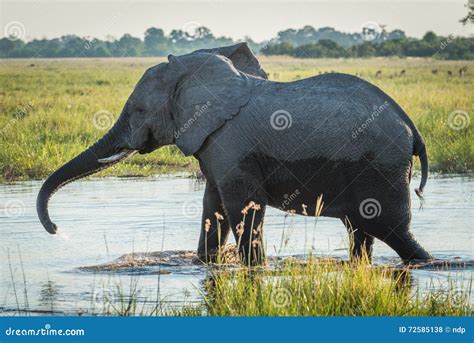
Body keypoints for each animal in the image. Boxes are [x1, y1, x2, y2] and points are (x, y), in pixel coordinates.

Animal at [38, 41, 434, 266]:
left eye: (137, 111)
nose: (57, 229)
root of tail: (412, 129)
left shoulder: (232, 146)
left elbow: (242, 207)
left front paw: (252, 269)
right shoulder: (216, 146)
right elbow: (212, 207)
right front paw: (206, 263)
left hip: (381, 167)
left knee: (391, 230)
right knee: (361, 231)